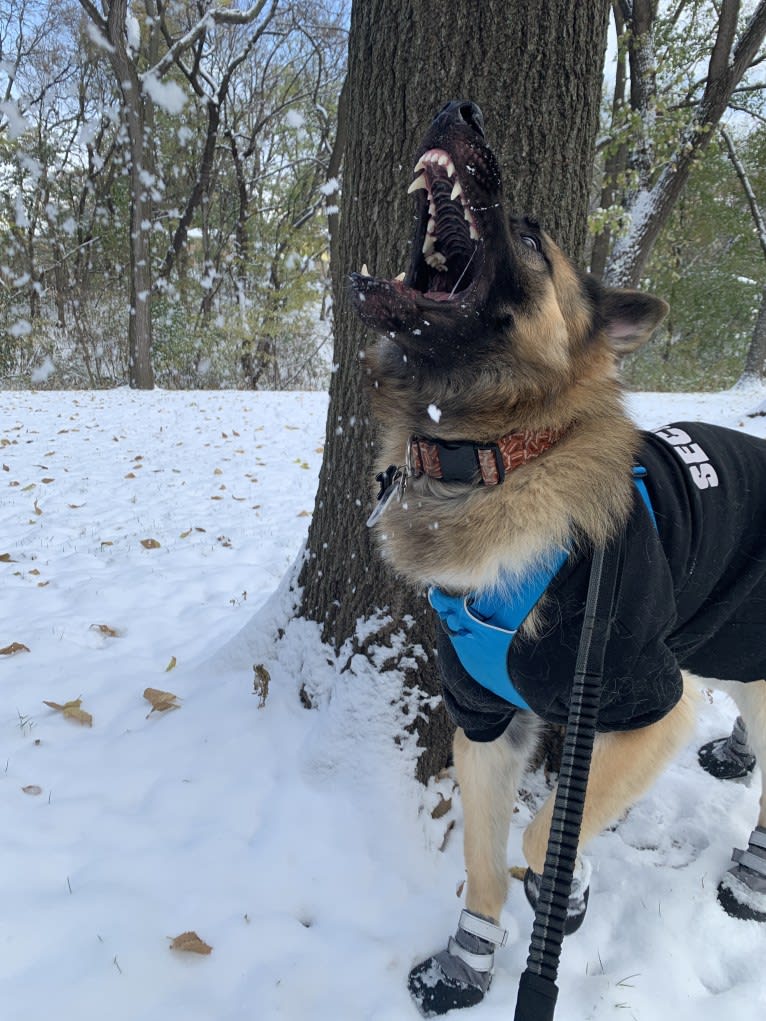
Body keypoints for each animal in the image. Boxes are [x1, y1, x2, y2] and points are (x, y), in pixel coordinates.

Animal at [349, 99, 766, 1016]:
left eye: (535, 238)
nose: (459, 108)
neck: (494, 454)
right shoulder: (484, 719)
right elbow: (483, 858)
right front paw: (469, 959)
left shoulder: (650, 705)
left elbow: (547, 832)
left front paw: (564, 892)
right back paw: (738, 755)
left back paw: (754, 872)